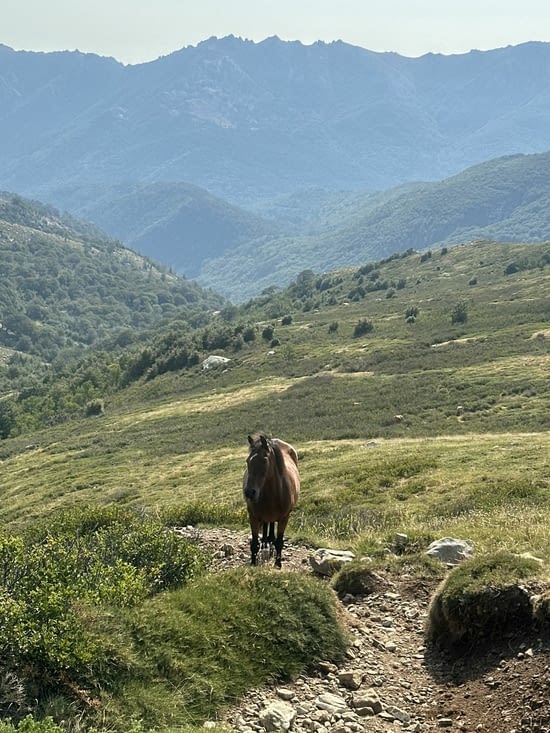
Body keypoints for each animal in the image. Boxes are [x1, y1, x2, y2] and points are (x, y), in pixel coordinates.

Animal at [243, 433, 300, 568]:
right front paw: (253, 562)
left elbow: (279, 542)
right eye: (248, 461)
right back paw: (265, 544)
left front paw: (278, 564)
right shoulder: (253, 517)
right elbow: (254, 543)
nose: (249, 492)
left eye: (264, 460)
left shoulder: (284, 518)